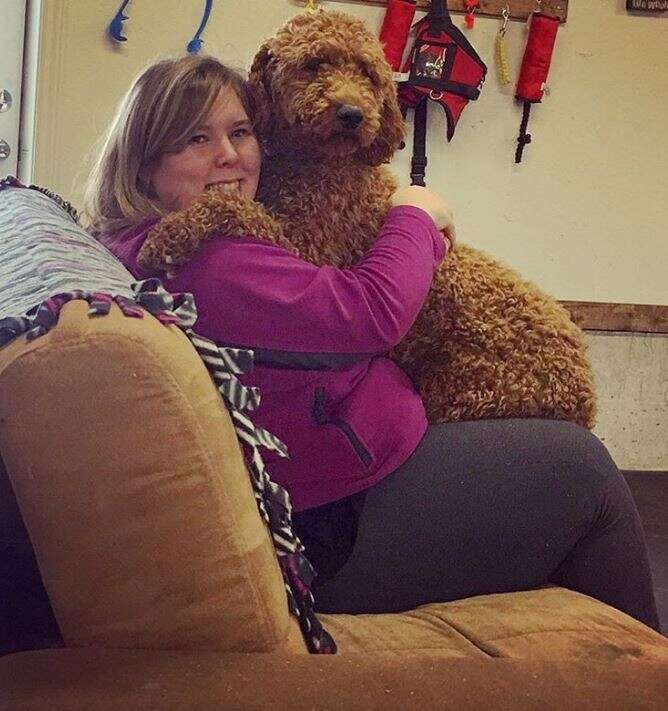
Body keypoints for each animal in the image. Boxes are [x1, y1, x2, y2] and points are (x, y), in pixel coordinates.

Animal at [140, 8, 596, 428]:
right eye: (315, 63)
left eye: (367, 73)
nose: (351, 113)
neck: (315, 165)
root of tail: (585, 396)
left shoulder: (312, 254)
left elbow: (236, 206)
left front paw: (169, 233)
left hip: (465, 390)